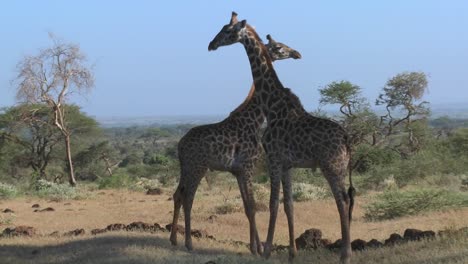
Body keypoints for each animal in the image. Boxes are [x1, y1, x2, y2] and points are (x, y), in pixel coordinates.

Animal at [170, 32, 302, 255]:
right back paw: (188, 243)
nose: (296, 53)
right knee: (188, 198)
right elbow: (253, 206)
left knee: (177, 194)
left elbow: (247, 207)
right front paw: (258, 249)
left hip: (185, 168)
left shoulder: (238, 171)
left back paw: (173, 239)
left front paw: (253, 247)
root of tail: (180, 145)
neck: (255, 118)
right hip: (198, 167)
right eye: (278, 47)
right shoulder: (248, 166)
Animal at [208, 12, 354, 264]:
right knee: (345, 199)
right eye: (278, 46)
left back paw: (345, 254)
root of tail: (346, 139)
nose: (211, 44)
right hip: (341, 166)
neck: (272, 105)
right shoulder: (287, 163)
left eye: (227, 31)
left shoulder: (273, 158)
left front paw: (266, 250)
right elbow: (289, 204)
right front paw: (291, 253)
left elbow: (272, 203)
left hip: (331, 165)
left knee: (342, 200)